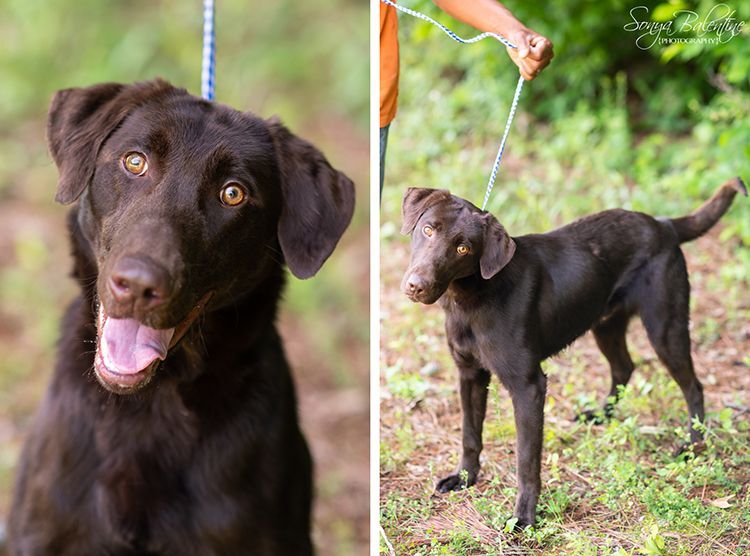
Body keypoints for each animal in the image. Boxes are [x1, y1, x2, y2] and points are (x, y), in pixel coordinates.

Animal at [402, 180, 744, 528]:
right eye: (428, 229)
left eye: (463, 249)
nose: (417, 286)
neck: (471, 298)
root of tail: (663, 224)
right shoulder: (469, 374)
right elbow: (470, 434)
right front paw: (464, 478)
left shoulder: (528, 386)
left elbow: (526, 461)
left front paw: (524, 517)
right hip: (605, 324)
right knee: (624, 367)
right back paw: (602, 415)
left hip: (665, 327)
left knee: (693, 386)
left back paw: (693, 444)